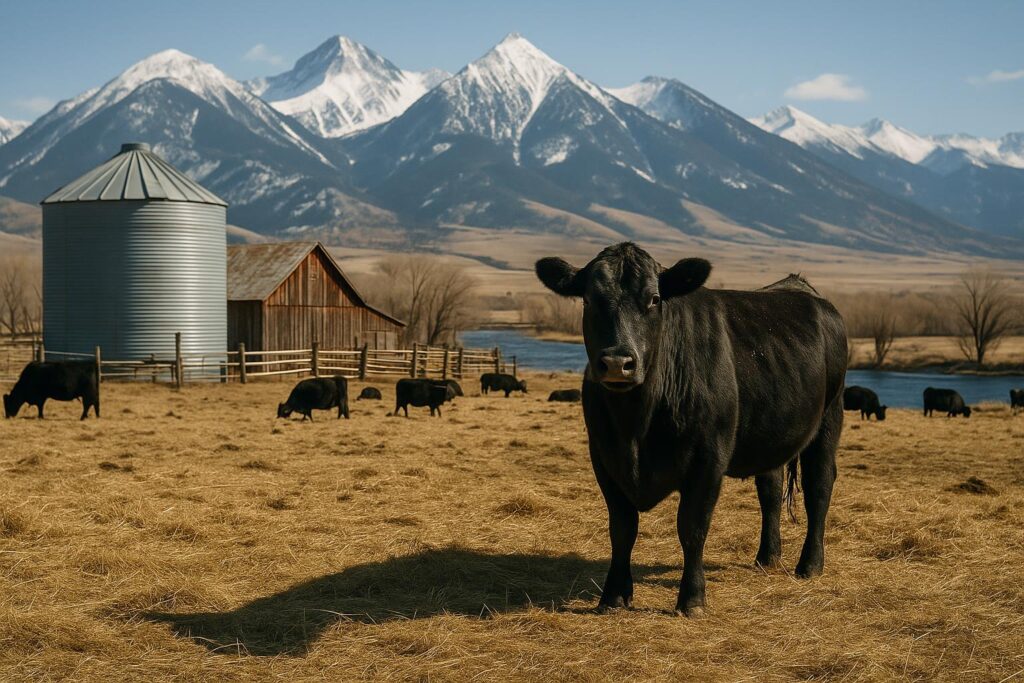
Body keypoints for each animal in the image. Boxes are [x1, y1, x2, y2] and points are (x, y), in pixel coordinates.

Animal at [535, 242, 846, 616]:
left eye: (654, 299)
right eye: (588, 299)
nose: (617, 363)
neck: (635, 427)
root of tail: (802, 289)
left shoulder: (708, 461)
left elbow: (692, 527)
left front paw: (692, 598)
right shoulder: (604, 458)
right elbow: (622, 529)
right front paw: (613, 595)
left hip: (829, 418)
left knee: (819, 487)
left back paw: (810, 565)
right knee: (769, 490)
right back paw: (767, 557)